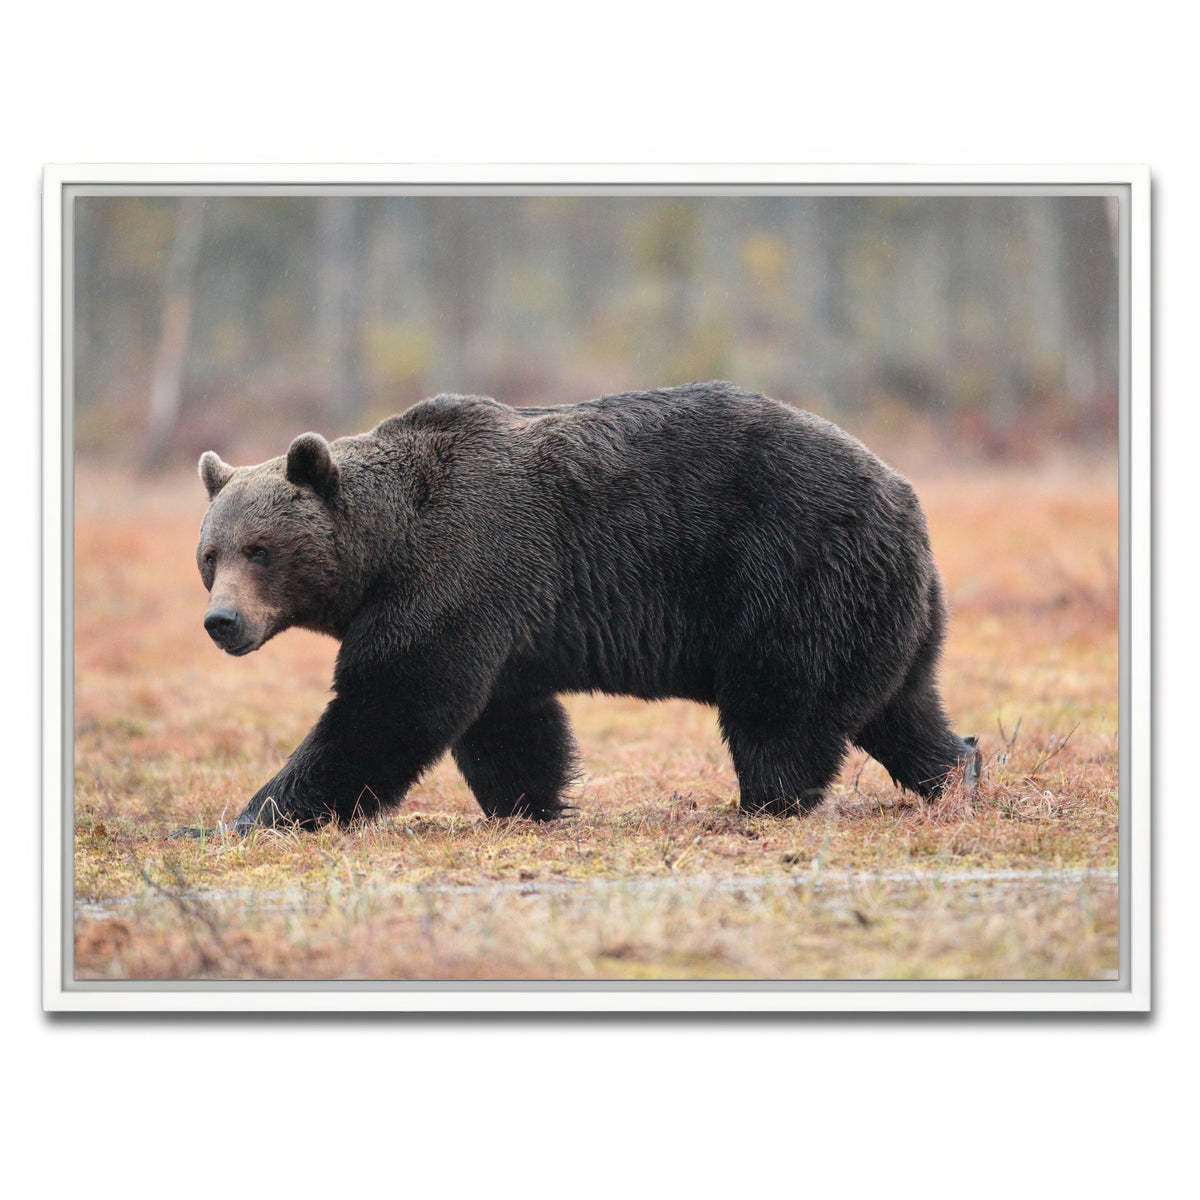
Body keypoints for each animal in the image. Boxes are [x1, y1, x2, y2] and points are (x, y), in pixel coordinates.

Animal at [179, 381, 979, 836]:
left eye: (260, 550)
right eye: (209, 556)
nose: (223, 623)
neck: (386, 548)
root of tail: (905, 495)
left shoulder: (460, 568)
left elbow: (390, 705)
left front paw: (248, 818)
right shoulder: (498, 616)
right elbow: (507, 723)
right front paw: (533, 804)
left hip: (792, 572)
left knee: (781, 709)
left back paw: (763, 804)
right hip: (887, 608)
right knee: (901, 708)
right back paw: (958, 772)